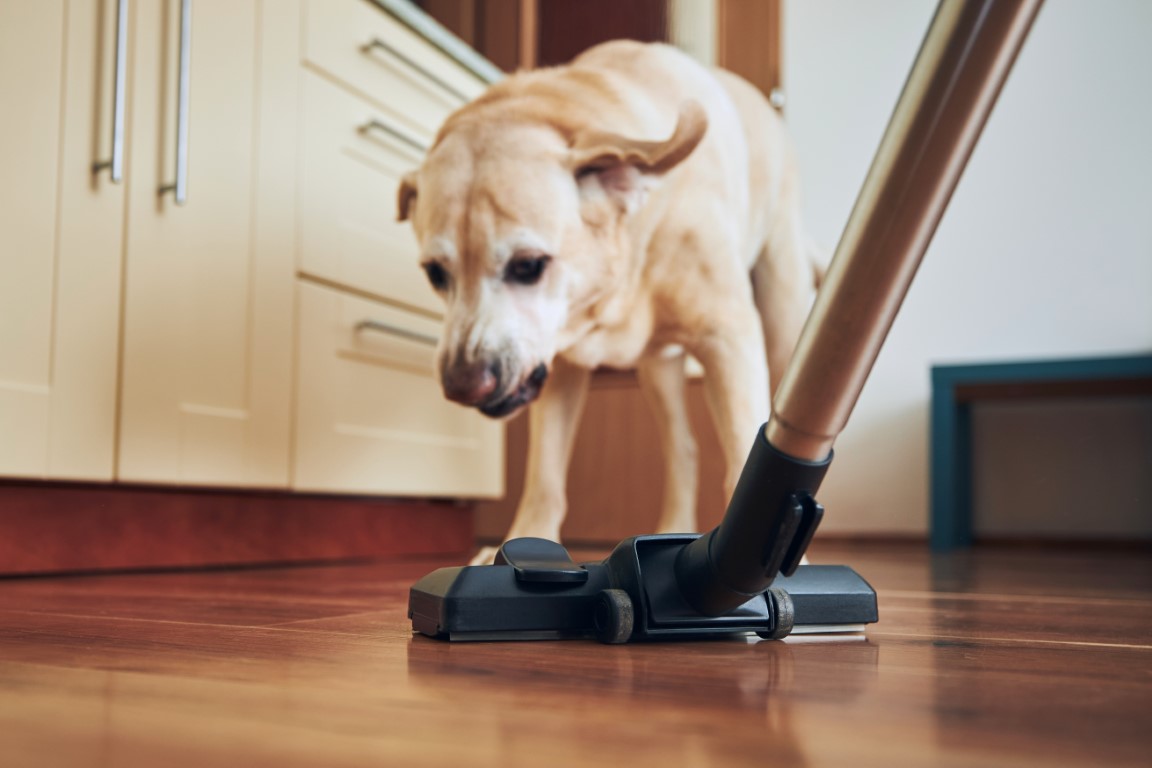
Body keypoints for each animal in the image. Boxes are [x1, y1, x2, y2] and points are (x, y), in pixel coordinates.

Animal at [396, 40, 820, 564]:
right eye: (436, 274)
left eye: (528, 265)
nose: (463, 386)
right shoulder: (559, 369)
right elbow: (545, 477)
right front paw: (524, 542)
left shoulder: (729, 338)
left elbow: (747, 449)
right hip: (657, 369)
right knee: (683, 449)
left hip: (781, 324)